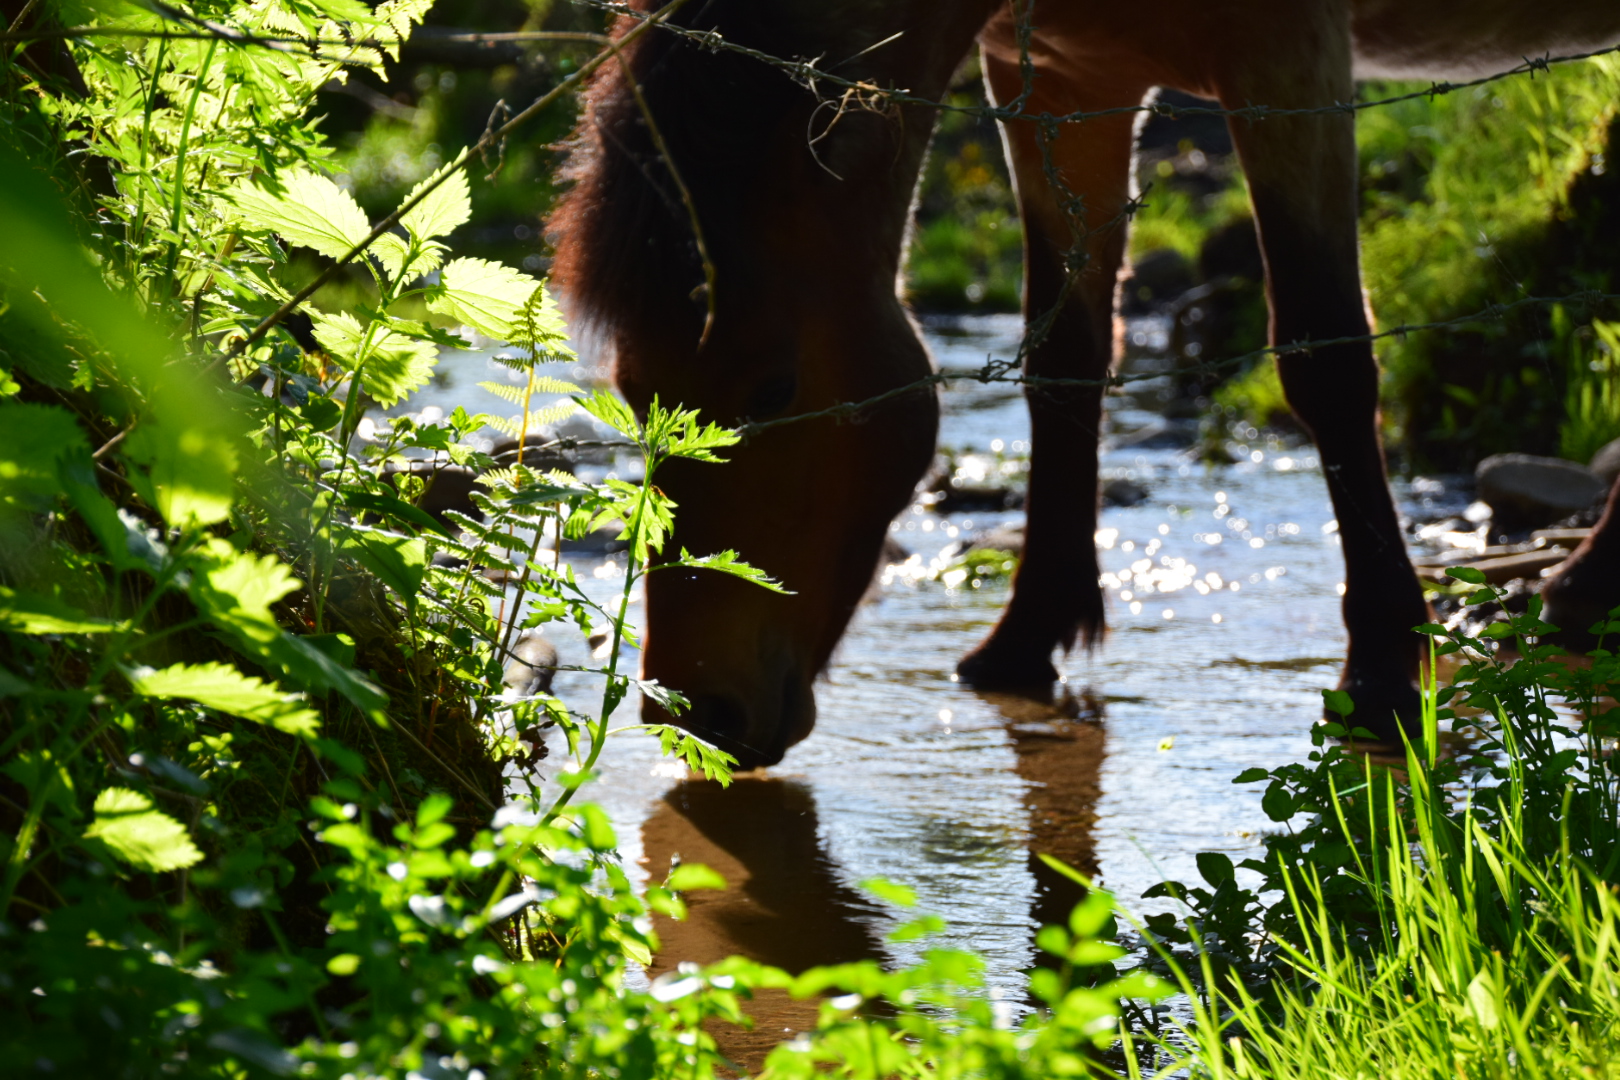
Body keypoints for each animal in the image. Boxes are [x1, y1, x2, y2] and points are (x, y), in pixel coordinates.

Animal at [554, 0, 1620, 767]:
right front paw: (1027, 637)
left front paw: (1385, 671)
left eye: (773, 387)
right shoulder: (1067, 83)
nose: (697, 711)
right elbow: (1062, 361)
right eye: (635, 392)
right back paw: (1582, 590)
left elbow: (1323, 356)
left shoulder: (1288, 59)